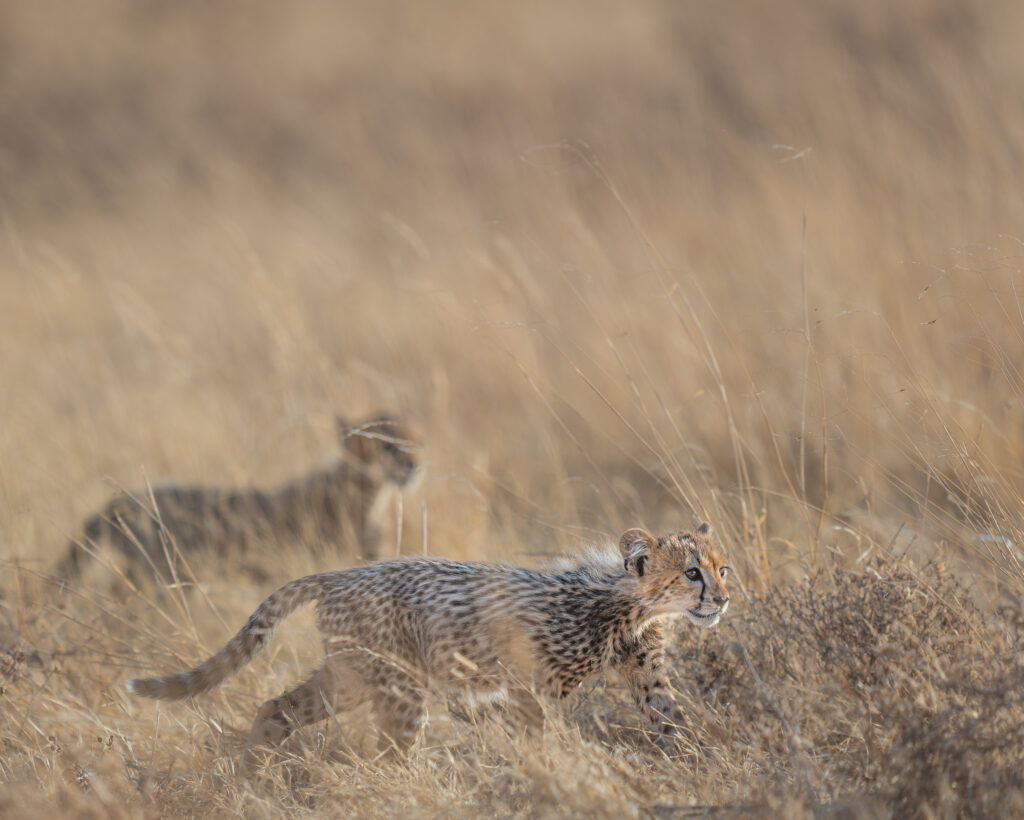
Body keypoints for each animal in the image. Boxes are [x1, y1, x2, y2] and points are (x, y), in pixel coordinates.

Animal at [125, 523, 730, 768]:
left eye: (723, 569)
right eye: (691, 573)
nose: (723, 600)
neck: (629, 602)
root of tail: (338, 574)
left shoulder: (646, 675)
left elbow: (672, 720)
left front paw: (699, 761)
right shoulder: (529, 686)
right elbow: (537, 738)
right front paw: (546, 772)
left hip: (350, 676)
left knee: (277, 707)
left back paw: (250, 772)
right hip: (398, 685)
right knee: (389, 751)